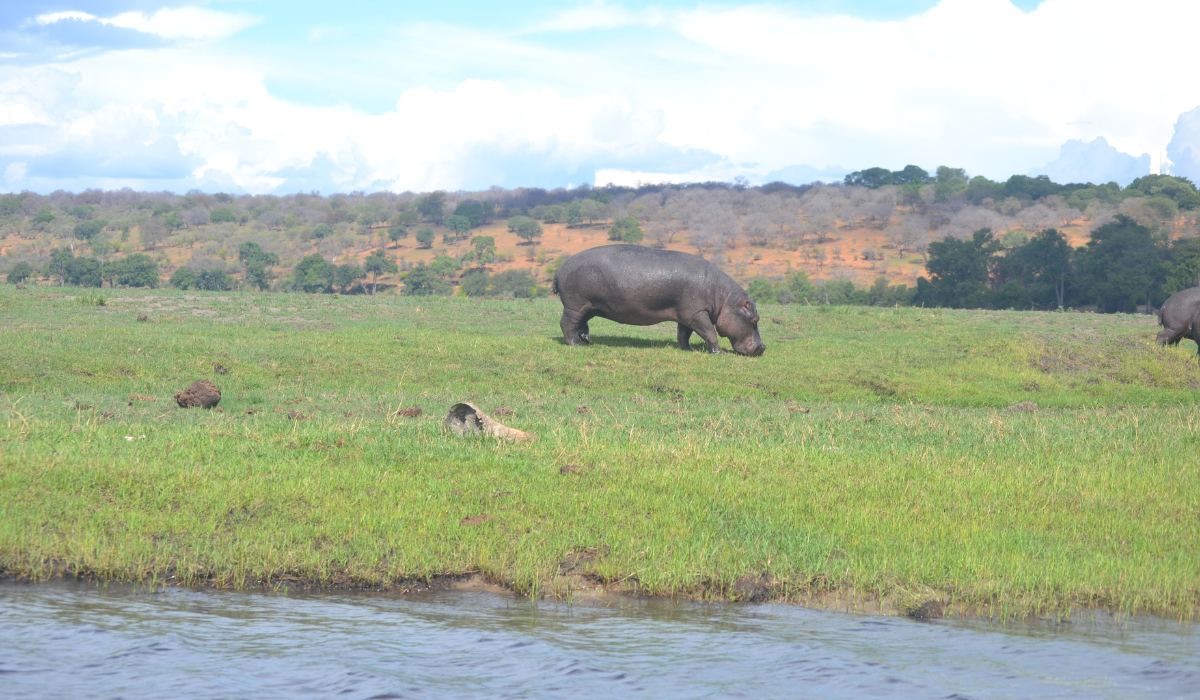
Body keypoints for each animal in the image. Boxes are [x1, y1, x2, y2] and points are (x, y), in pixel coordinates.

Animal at [552, 245, 765, 356]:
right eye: (755, 319)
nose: (763, 347)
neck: (723, 299)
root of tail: (559, 268)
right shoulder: (698, 314)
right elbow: (709, 333)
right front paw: (720, 353)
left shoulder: (686, 315)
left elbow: (683, 335)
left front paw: (689, 350)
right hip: (575, 305)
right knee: (567, 323)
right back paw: (576, 346)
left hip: (589, 306)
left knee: (582, 323)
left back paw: (588, 341)